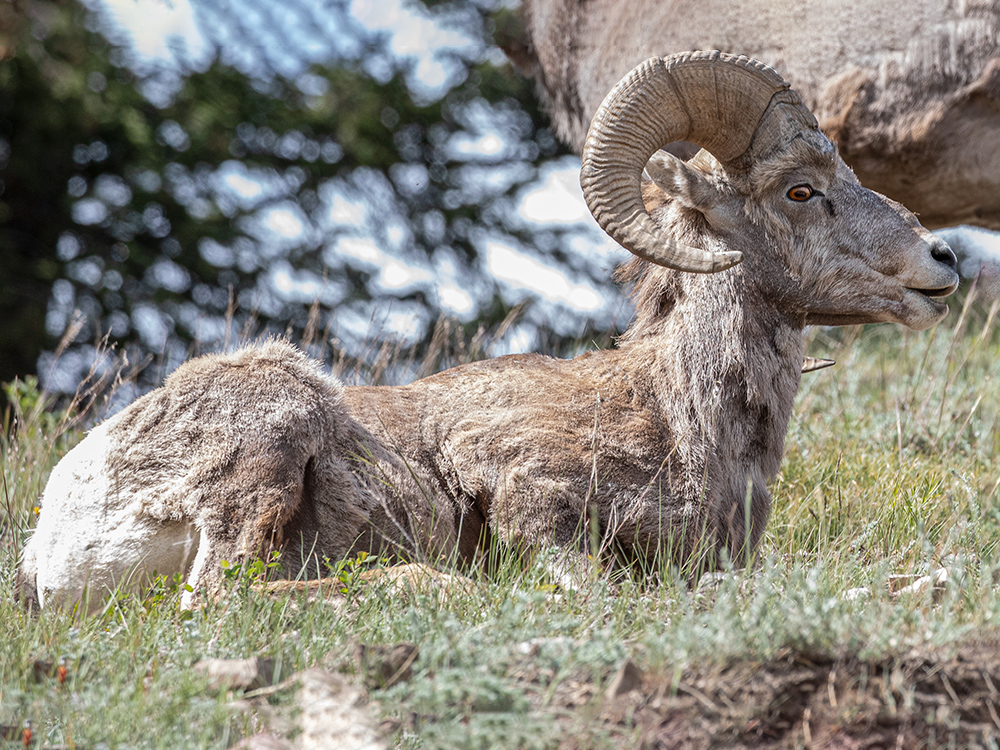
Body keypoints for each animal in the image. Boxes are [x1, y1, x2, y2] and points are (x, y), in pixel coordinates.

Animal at [15, 54, 956, 616]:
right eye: (800, 191)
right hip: (274, 429)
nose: (941, 259)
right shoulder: (517, 486)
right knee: (223, 597)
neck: (682, 419)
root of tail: (59, 526)